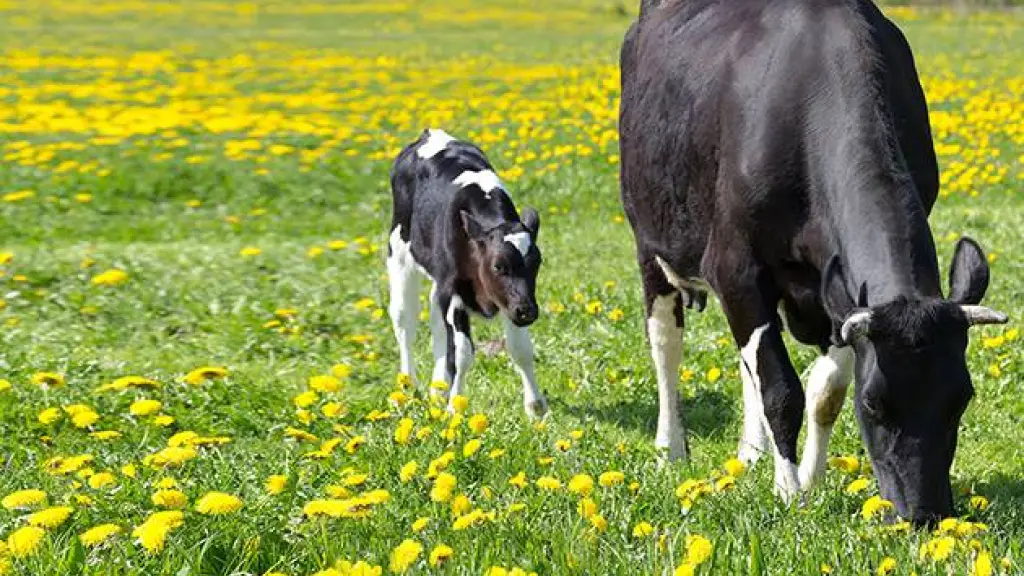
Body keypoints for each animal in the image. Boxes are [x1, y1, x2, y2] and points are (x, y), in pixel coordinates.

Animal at [387, 129, 548, 416]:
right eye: (498, 266)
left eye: (536, 263)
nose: (528, 311)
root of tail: (431, 133)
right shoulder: (455, 295)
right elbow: (463, 352)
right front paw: (455, 406)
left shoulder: (509, 300)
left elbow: (521, 349)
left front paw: (535, 407)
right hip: (399, 252)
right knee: (404, 321)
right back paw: (407, 388)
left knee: (436, 325)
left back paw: (437, 389)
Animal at [614, 0, 1007, 520]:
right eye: (874, 404)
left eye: (961, 399)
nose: (926, 515)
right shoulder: (735, 266)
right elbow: (781, 389)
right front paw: (789, 491)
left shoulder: (834, 291)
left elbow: (823, 392)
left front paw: (811, 478)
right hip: (650, 241)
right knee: (666, 344)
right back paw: (671, 448)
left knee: (746, 365)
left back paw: (750, 452)